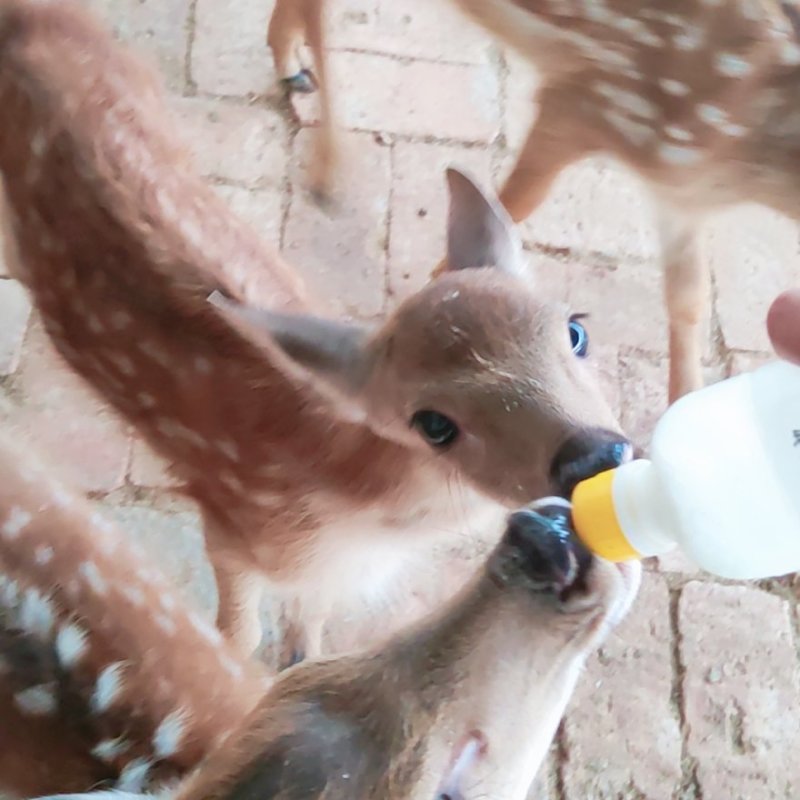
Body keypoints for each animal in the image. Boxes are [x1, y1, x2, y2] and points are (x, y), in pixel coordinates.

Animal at [0, 0, 631, 671]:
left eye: (575, 330)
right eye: (433, 424)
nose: (595, 455)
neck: (348, 512)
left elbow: (310, 629)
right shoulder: (233, 527)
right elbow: (236, 640)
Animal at [266, 0, 800, 404]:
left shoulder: (680, 190)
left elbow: (689, 298)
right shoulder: (589, 100)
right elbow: (518, 201)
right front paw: (449, 286)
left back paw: (293, 70)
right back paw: (327, 168)